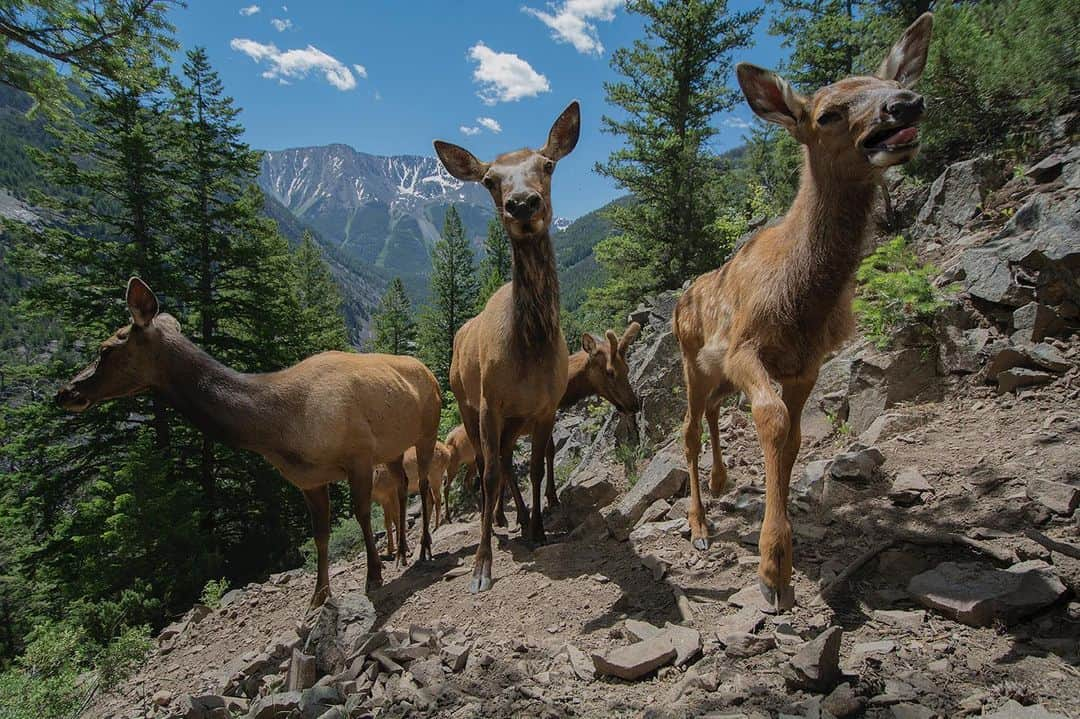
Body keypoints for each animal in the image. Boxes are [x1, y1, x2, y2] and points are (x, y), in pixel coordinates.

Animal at [53, 278, 442, 604]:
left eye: (106, 348)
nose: (65, 392)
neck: (282, 429)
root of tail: (429, 372)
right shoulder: (308, 479)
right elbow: (320, 534)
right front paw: (318, 597)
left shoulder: (358, 454)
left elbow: (362, 515)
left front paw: (373, 577)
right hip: (393, 448)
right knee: (402, 484)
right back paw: (403, 552)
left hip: (427, 429)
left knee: (423, 485)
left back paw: (424, 547)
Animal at [434, 102, 583, 591]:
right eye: (489, 179)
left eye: (548, 164)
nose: (522, 204)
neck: (529, 348)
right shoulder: (489, 404)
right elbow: (491, 472)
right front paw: (482, 564)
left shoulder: (544, 406)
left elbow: (534, 467)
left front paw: (537, 528)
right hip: (466, 404)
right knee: (487, 466)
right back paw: (497, 519)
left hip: (512, 419)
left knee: (503, 461)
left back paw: (513, 516)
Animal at [440, 321, 639, 518]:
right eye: (610, 372)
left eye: (627, 368)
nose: (633, 404)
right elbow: (506, 465)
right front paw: (512, 513)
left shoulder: (544, 420)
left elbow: (548, 452)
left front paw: (551, 497)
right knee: (483, 464)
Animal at [669, 14, 933, 608]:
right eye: (827, 113)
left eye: (887, 82)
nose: (906, 103)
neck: (801, 300)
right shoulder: (745, 347)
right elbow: (770, 420)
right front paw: (772, 571)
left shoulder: (807, 364)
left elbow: (791, 439)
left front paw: (783, 557)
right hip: (693, 361)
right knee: (688, 430)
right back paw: (699, 526)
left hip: (717, 374)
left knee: (714, 413)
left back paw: (721, 484)